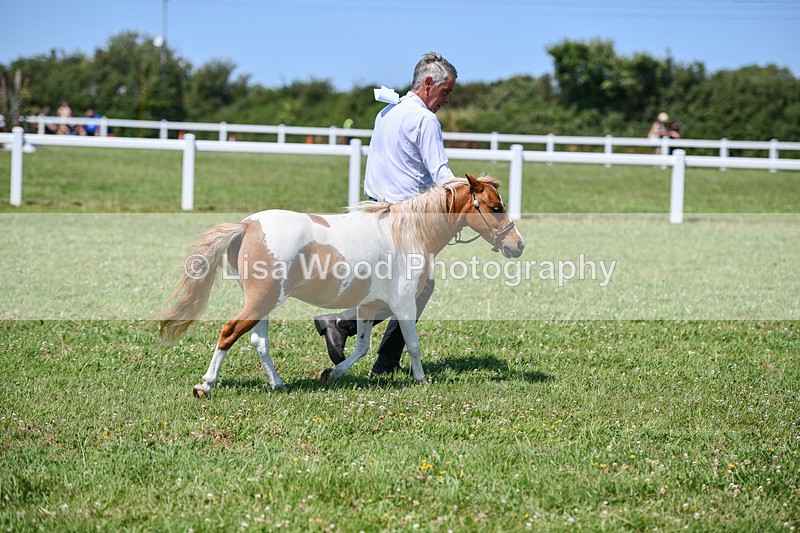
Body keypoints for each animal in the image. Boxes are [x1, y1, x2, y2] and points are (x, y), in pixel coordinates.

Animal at [158, 173, 525, 396]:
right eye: (495, 207)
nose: (518, 245)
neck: (407, 233)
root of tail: (247, 225)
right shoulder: (404, 303)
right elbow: (413, 344)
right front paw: (421, 380)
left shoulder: (368, 305)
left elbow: (361, 346)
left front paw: (332, 373)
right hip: (260, 301)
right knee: (229, 332)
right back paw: (205, 386)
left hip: (264, 302)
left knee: (258, 342)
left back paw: (278, 384)